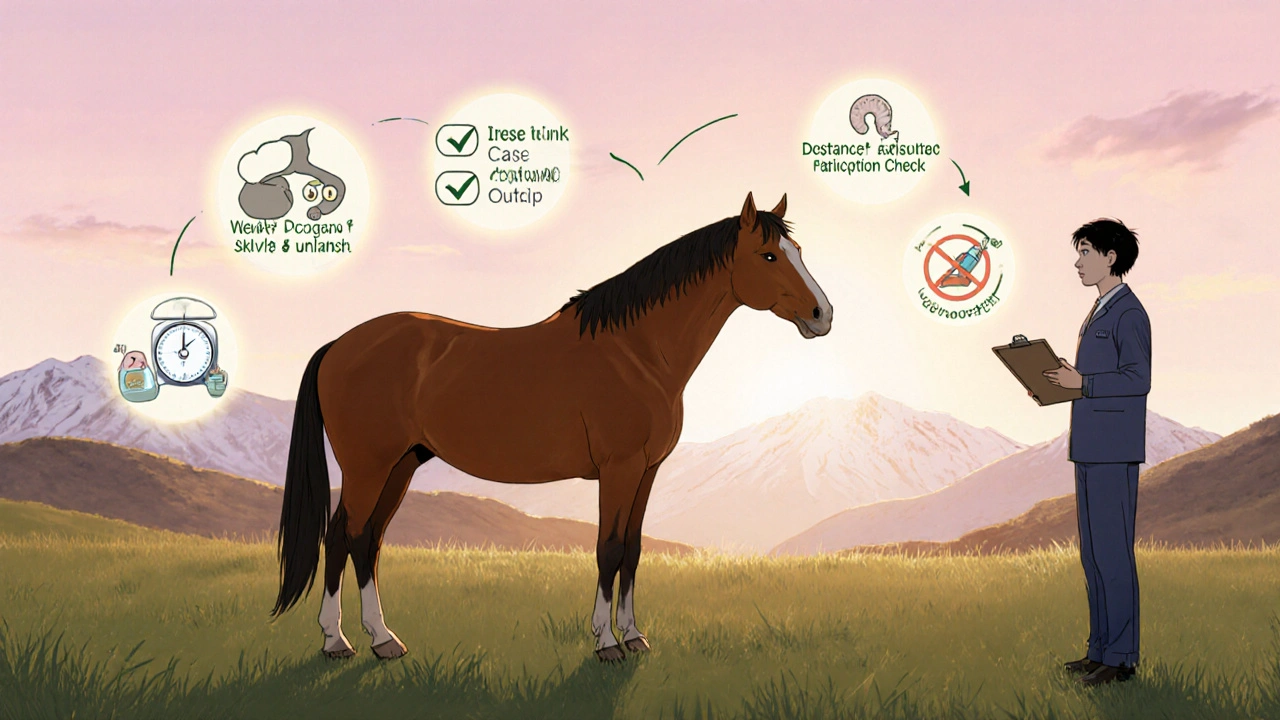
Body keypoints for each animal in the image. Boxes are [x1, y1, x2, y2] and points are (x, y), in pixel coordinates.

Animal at [271, 192, 833, 663]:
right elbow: (608, 550)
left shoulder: (647, 471)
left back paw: (384, 640)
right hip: (368, 467)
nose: (822, 315)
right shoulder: (619, 469)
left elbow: (633, 551)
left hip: (401, 465)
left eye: (799, 250)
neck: (636, 351)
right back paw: (337, 641)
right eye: (769, 256)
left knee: (368, 541)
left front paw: (634, 636)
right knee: (341, 536)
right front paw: (606, 643)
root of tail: (338, 345)